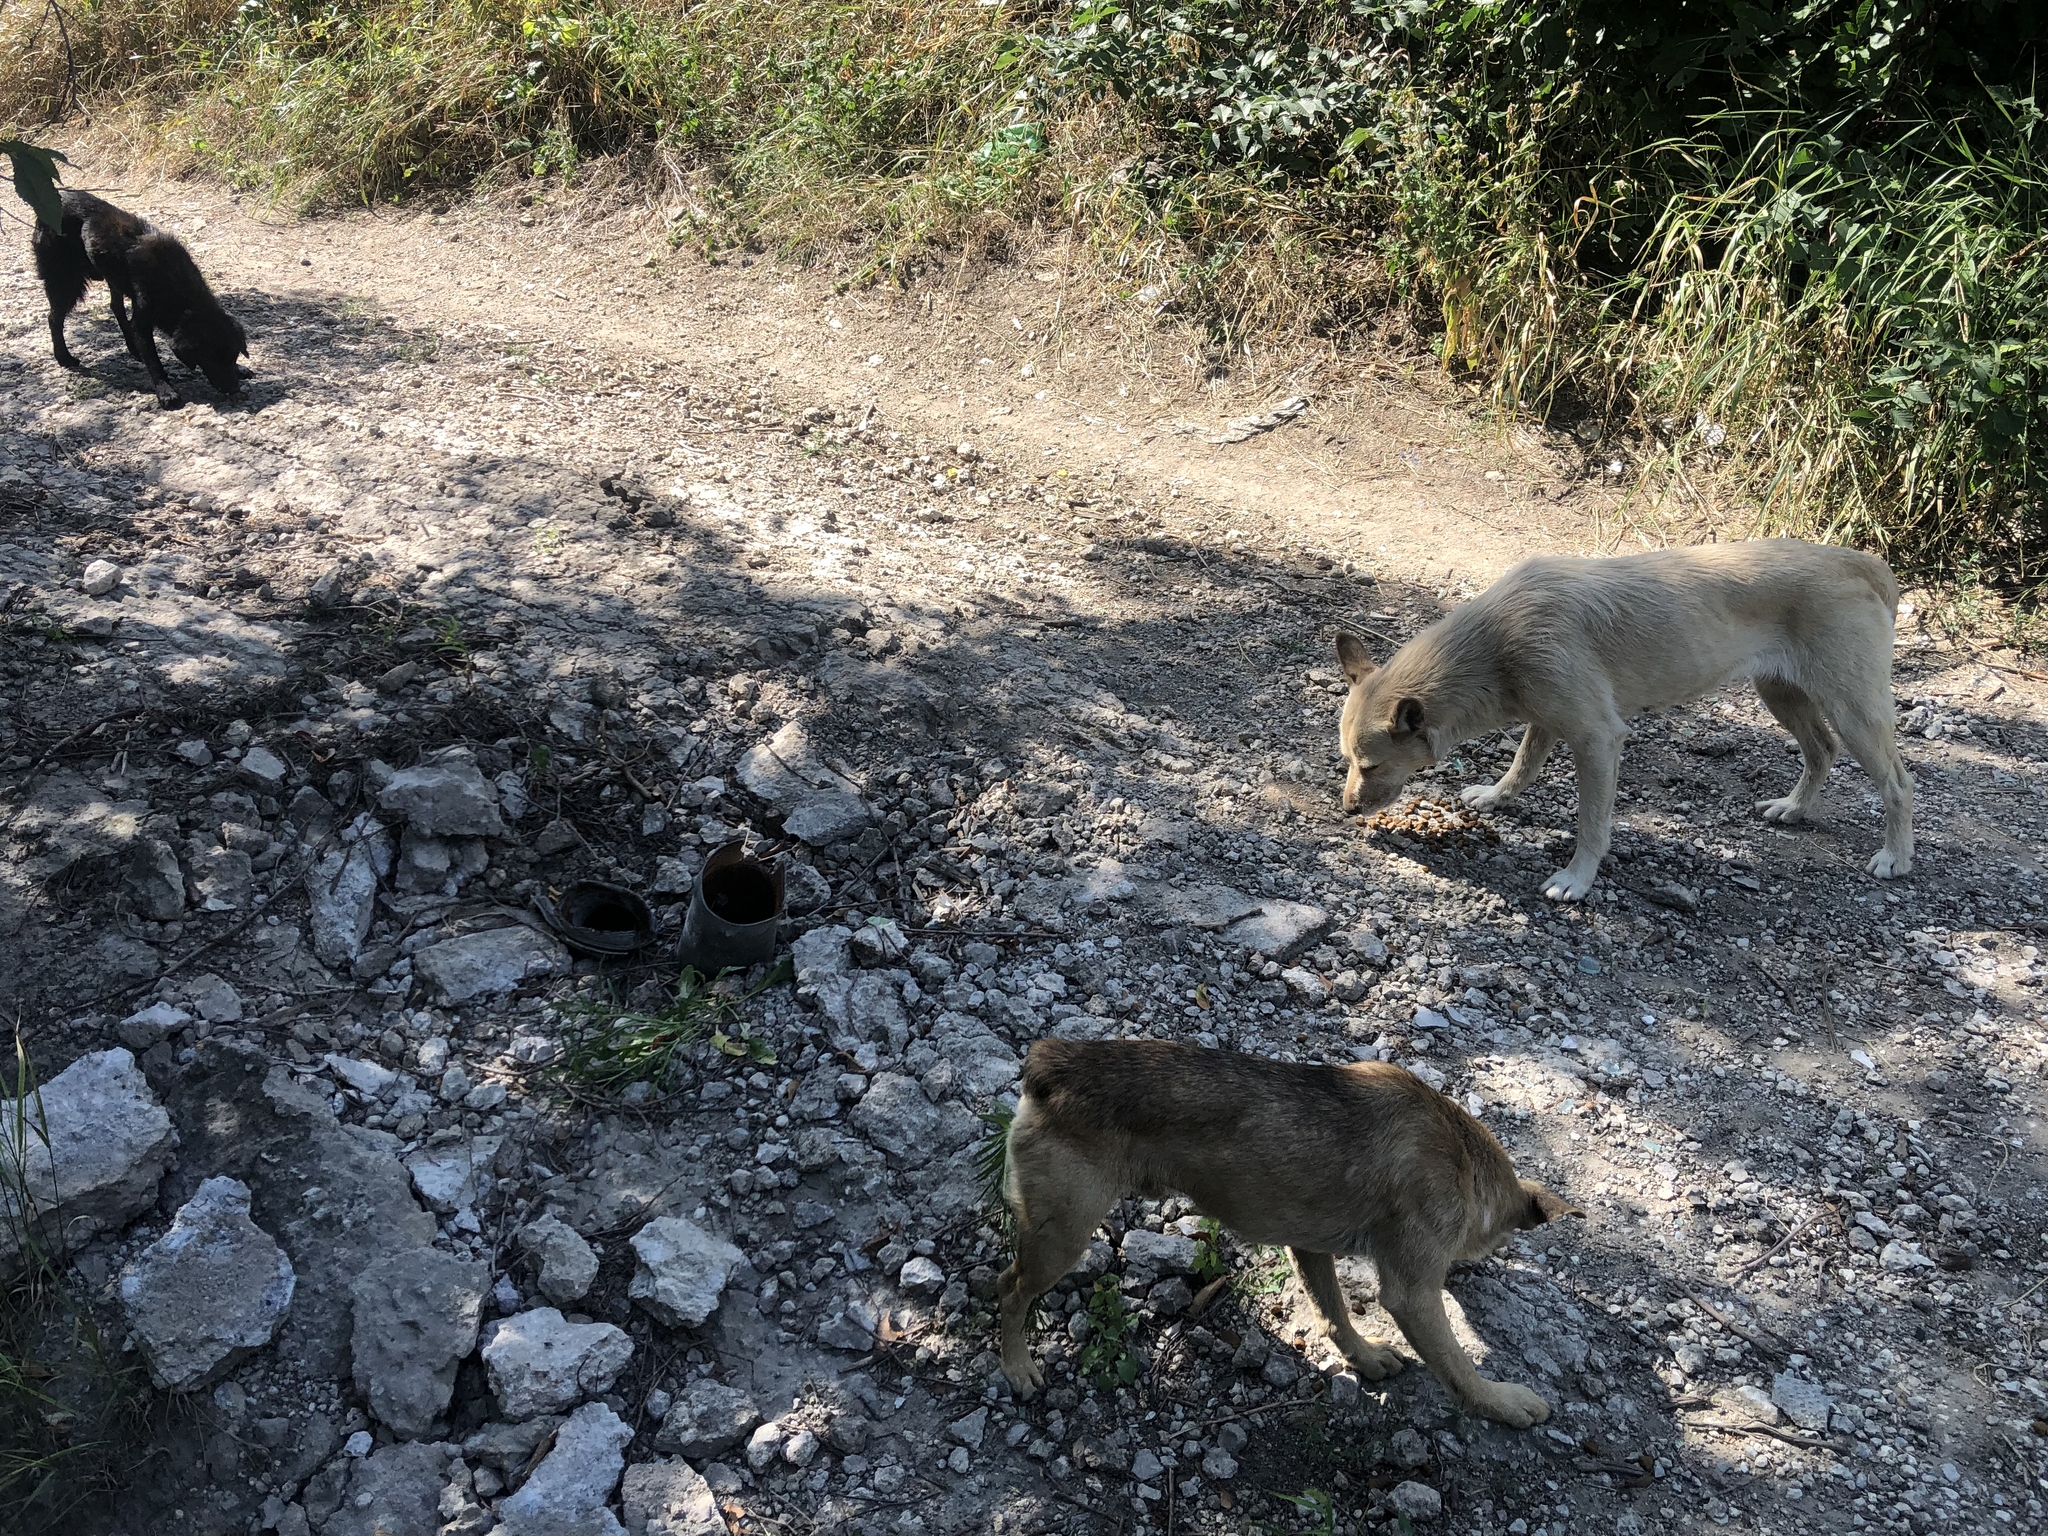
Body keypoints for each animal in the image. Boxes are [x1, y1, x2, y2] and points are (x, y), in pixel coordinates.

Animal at [32, 190, 247, 409]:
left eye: (233, 357)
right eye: (210, 358)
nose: (234, 389)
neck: (182, 292)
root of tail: (62, 194)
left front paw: (240, 370)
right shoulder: (143, 319)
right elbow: (153, 360)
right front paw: (166, 391)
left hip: (113, 278)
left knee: (116, 307)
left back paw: (132, 347)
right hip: (65, 281)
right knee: (54, 319)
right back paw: (63, 357)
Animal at [995, 1048, 1581, 1433]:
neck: (1462, 1153)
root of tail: (1048, 1063)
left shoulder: (1310, 1246)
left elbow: (1335, 1315)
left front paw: (1365, 1359)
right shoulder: (1412, 1295)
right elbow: (1459, 1367)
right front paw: (1502, 1404)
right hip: (1063, 1238)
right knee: (1009, 1288)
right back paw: (1017, 1367)